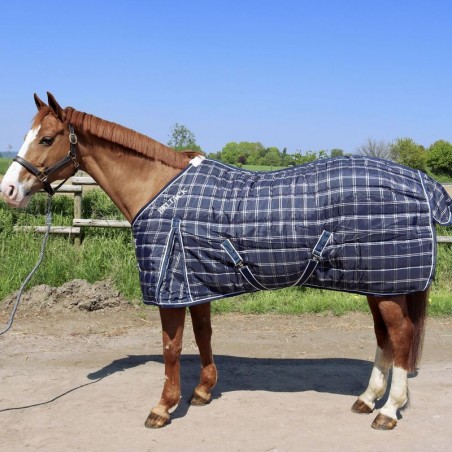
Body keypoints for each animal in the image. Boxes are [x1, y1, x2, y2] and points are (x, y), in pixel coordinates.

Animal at [1, 92, 450, 430]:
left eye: (47, 139)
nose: (8, 190)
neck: (159, 189)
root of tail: (421, 182)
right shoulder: (195, 282)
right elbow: (203, 335)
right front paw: (202, 391)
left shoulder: (171, 286)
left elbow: (171, 346)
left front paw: (163, 407)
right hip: (377, 283)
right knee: (384, 338)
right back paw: (367, 399)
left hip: (386, 287)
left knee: (401, 337)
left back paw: (388, 411)